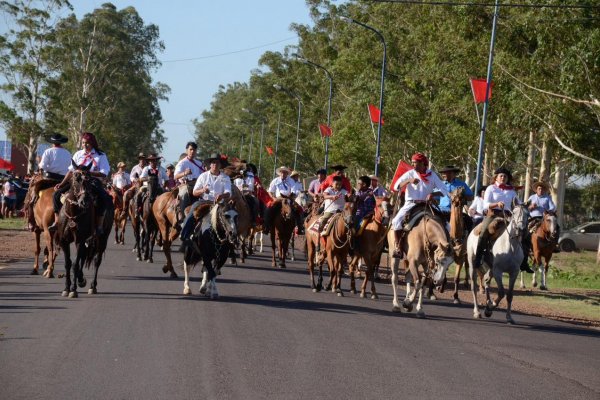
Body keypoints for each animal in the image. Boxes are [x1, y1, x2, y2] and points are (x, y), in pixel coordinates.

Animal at [55, 162, 115, 296]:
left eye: (88, 180)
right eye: (76, 178)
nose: (84, 201)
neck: (73, 213)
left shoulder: (79, 240)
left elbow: (75, 264)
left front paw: (73, 290)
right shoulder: (64, 241)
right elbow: (68, 263)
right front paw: (66, 288)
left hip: (102, 239)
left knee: (97, 260)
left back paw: (92, 286)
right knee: (83, 258)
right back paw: (81, 280)